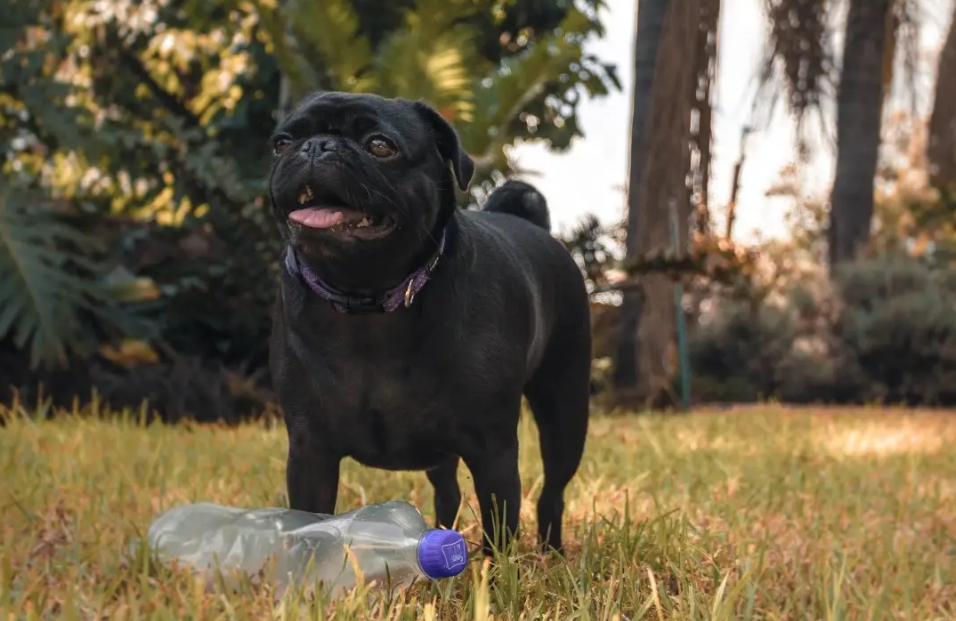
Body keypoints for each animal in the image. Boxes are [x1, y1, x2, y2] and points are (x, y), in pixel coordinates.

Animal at [268, 92, 592, 552]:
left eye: (380, 145)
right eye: (281, 144)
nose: (315, 146)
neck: (367, 300)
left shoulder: (492, 449)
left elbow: (500, 523)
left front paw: (495, 571)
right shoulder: (310, 450)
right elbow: (309, 521)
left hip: (564, 410)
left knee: (552, 491)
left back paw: (551, 551)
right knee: (448, 492)